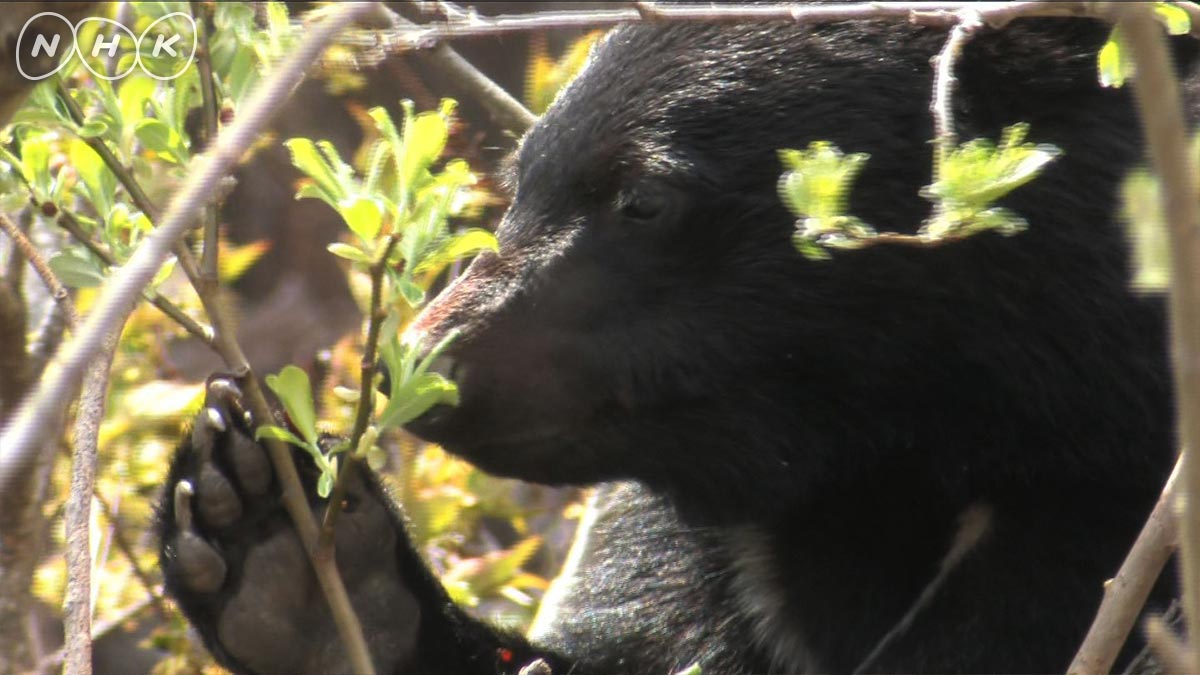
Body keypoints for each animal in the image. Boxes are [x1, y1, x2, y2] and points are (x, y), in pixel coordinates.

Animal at [157, 10, 1190, 672]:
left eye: (645, 198)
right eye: (520, 177)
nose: (429, 360)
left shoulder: (1109, 520)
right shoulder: (713, 544)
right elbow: (629, 639)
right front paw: (273, 539)